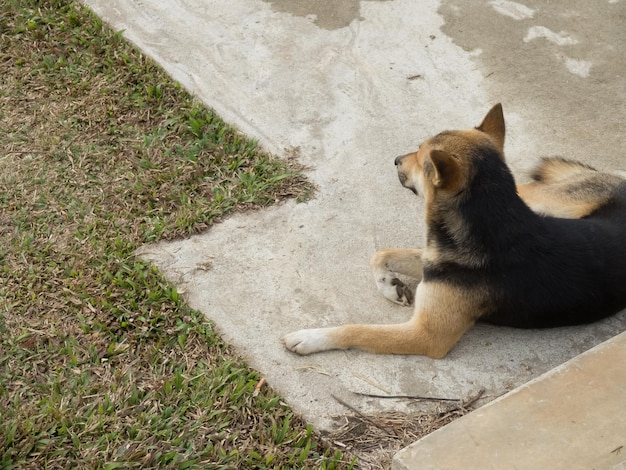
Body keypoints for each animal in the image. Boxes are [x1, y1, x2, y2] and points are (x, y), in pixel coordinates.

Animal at [280, 104, 624, 358]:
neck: (489, 222)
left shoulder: (426, 336)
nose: (396, 160)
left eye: (420, 158)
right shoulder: (433, 261)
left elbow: (359, 329)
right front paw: (389, 286)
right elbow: (380, 254)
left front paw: (311, 337)